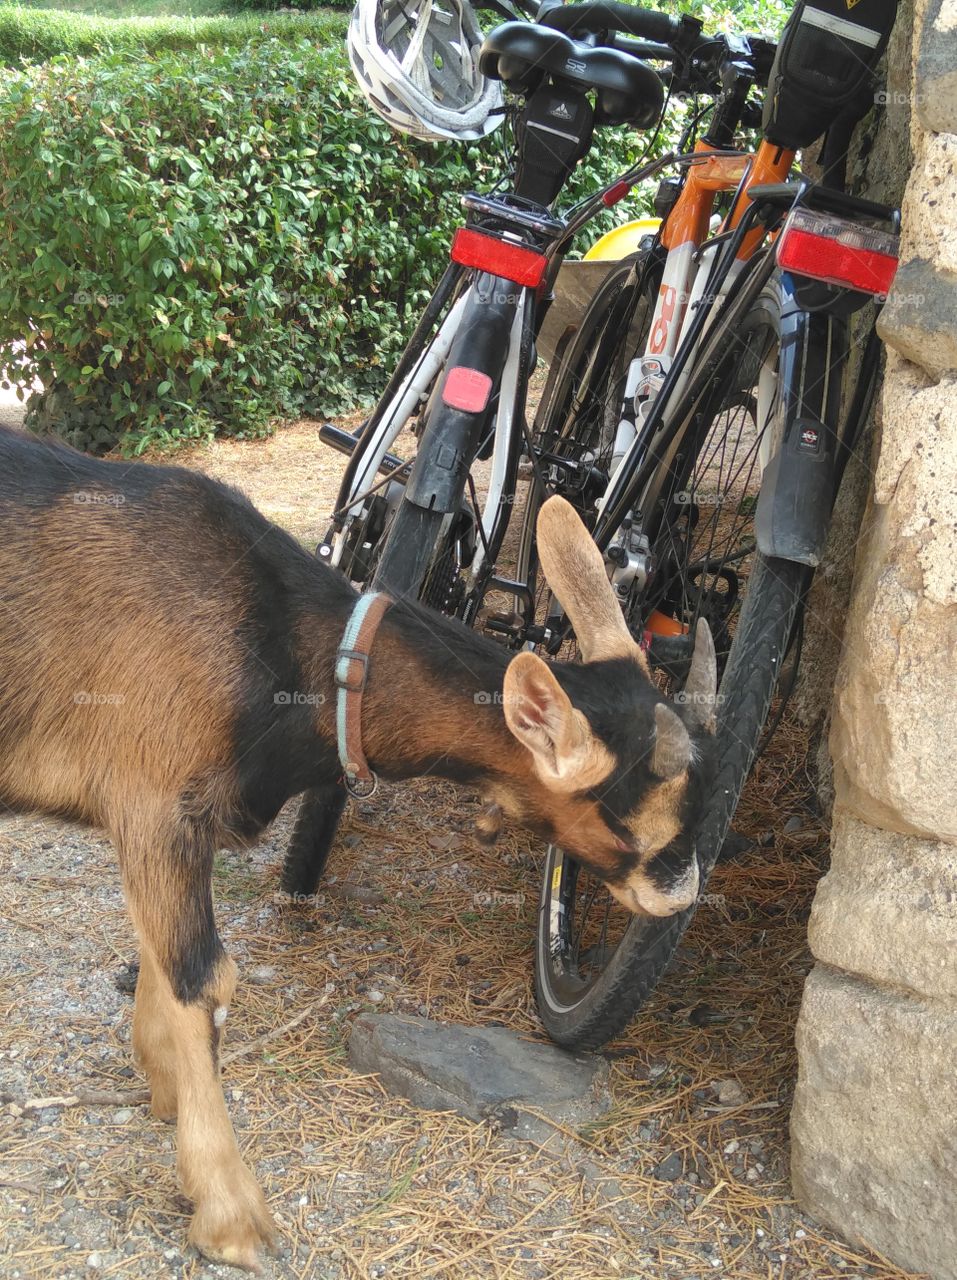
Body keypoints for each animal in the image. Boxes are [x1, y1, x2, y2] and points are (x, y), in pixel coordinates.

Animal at [0, 424, 716, 1264]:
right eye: (629, 823)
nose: (681, 892)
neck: (293, 651)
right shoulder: (153, 793)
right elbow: (203, 978)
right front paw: (229, 1210)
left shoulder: (163, 823)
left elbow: (160, 954)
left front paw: (162, 1083)